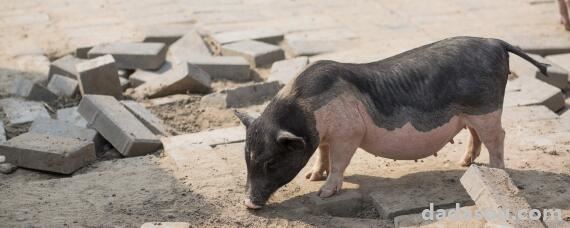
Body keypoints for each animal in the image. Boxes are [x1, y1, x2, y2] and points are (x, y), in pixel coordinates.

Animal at [234, 36, 544, 209]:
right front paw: (312, 177)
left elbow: (339, 163)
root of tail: (496, 42)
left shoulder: (349, 134)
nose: (248, 204)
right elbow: (322, 154)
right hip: (471, 113)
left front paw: (323, 193)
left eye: (271, 162)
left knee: (498, 136)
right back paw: (464, 164)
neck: (306, 112)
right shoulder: (323, 137)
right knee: (475, 134)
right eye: (247, 159)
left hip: (487, 109)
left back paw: (496, 171)